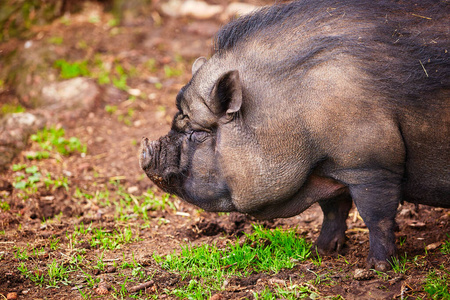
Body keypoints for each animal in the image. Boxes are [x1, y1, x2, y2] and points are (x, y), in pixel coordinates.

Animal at [139, 0, 448, 272]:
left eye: (197, 133)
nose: (145, 151)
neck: (291, 112)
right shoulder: (325, 166)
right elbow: (333, 209)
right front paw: (319, 252)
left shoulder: (372, 164)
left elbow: (377, 216)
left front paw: (378, 267)